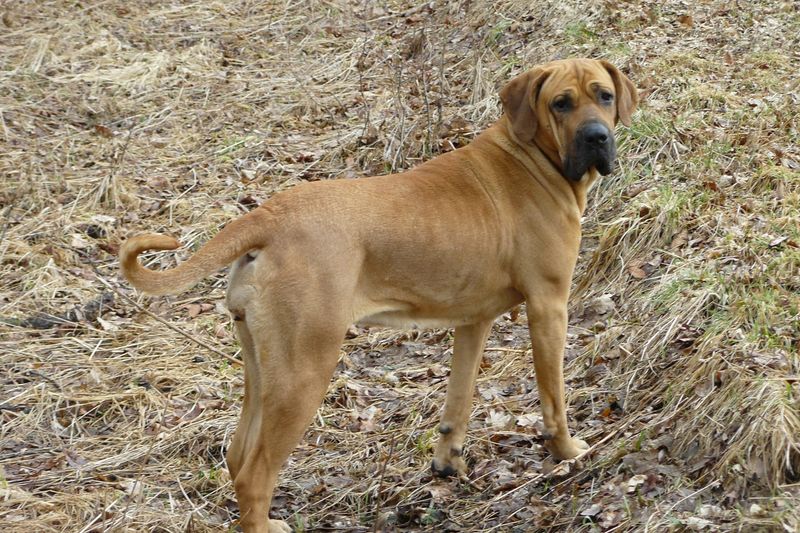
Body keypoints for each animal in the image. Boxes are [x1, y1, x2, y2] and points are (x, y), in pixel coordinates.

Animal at [120, 59, 636, 532]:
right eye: (561, 103)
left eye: (604, 95)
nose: (596, 137)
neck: (533, 156)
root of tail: (267, 216)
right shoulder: (549, 306)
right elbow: (554, 397)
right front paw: (566, 451)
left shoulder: (473, 321)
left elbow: (459, 397)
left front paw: (447, 461)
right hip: (305, 371)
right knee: (255, 475)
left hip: (263, 368)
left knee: (236, 455)